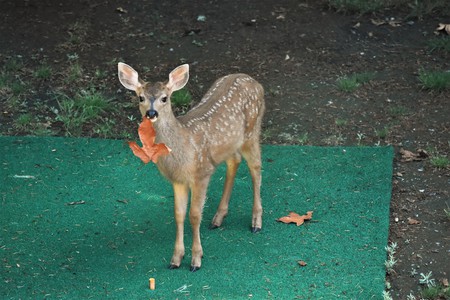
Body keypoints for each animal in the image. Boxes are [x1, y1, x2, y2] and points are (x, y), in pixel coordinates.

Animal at [118, 62, 266, 270]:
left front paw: (196, 259)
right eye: (141, 97)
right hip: (231, 144)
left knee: (256, 168)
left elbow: (194, 215)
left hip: (252, 130)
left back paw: (256, 222)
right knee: (234, 161)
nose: (151, 113)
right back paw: (218, 218)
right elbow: (179, 214)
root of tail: (254, 82)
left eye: (165, 98)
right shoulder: (178, 180)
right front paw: (176, 259)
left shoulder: (201, 173)